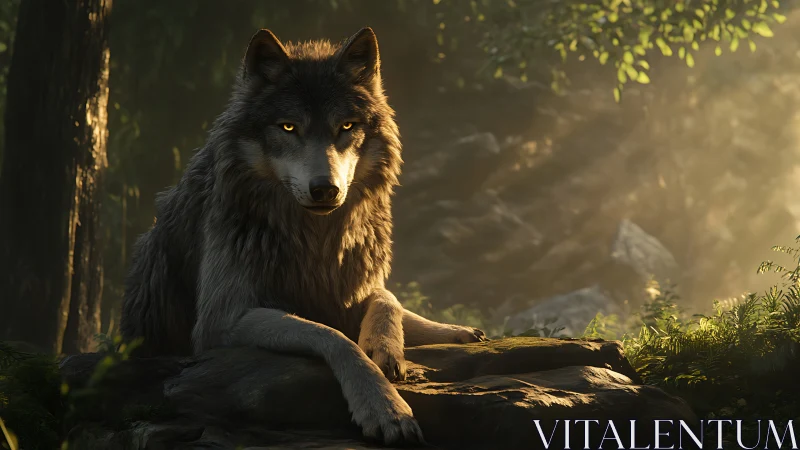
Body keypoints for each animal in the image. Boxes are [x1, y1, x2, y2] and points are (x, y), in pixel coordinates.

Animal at [120, 27, 487, 444]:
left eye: (346, 127)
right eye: (288, 127)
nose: (325, 189)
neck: (315, 240)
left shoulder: (352, 285)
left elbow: (386, 299)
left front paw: (387, 347)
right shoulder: (220, 320)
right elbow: (335, 337)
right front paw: (384, 406)